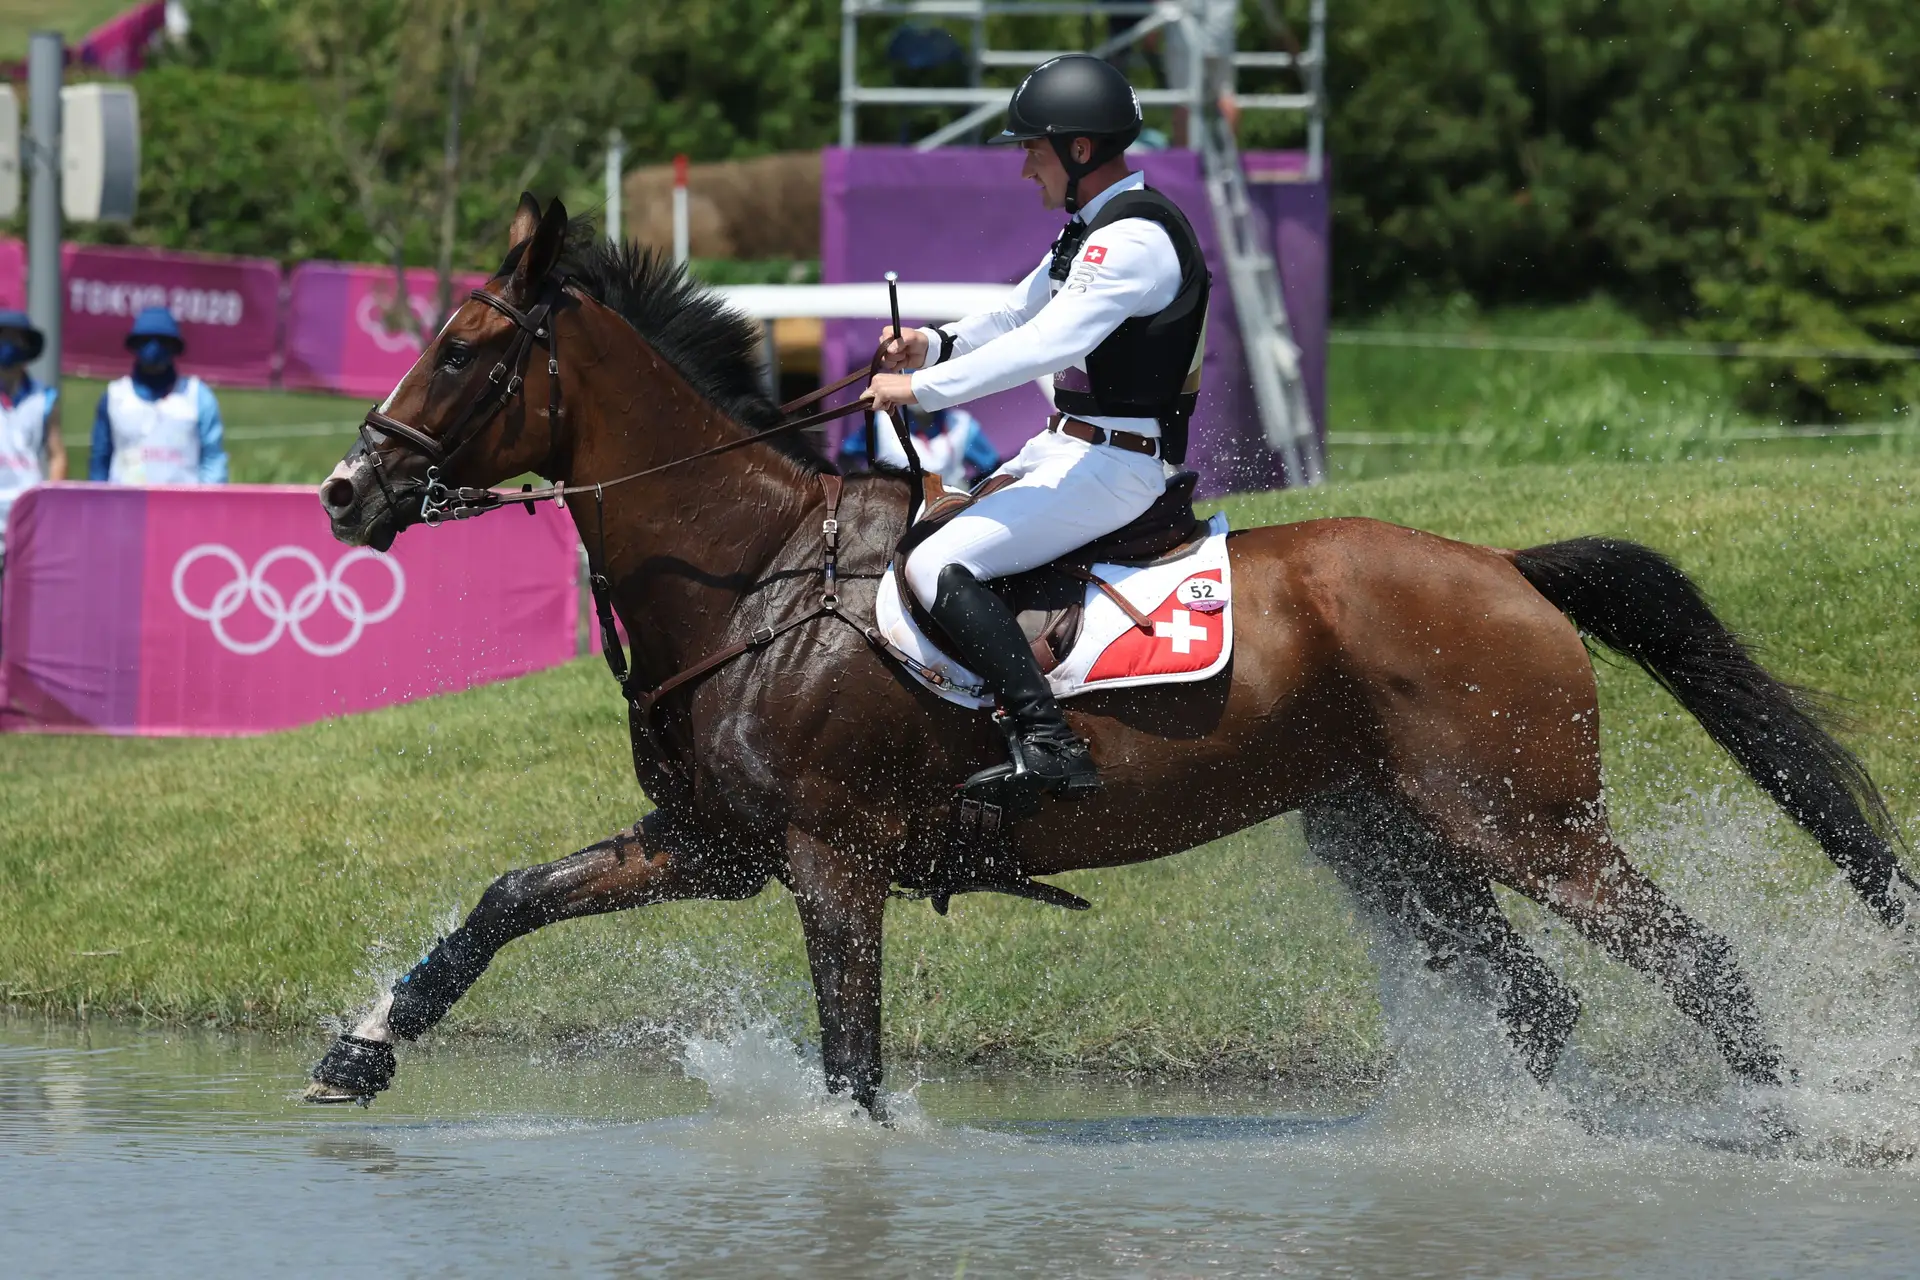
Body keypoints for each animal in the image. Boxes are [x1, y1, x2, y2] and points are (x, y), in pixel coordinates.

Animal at [307, 195, 1912, 1113]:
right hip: (1394, 837)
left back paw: (1787, 1126)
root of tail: (1502, 567)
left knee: (1696, 962)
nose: (344, 493)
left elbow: (854, 1067)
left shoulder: (831, 863)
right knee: (1540, 999)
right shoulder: (710, 843)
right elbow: (508, 900)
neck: (754, 576)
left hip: (1525, 824)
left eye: (463, 350)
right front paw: (364, 1045)